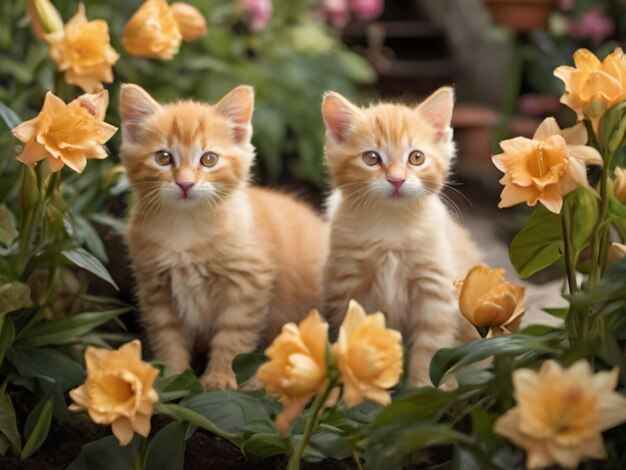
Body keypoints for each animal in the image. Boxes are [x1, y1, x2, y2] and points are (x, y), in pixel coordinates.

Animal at [119, 83, 330, 390]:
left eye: (209, 159)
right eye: (163, 158)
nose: (185, 184)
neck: (186, 227)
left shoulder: (248, 283)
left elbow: (232, 337)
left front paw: (219, 377)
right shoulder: (154, 287)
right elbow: (167, 336)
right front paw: (172, 379)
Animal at [320, 86, 480, 388]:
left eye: (416, 157)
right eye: (371, 158)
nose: (396, 180)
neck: (390, 224)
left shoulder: (435, 288)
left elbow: (431, 346)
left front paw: (423, 388)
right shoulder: (346, 284)